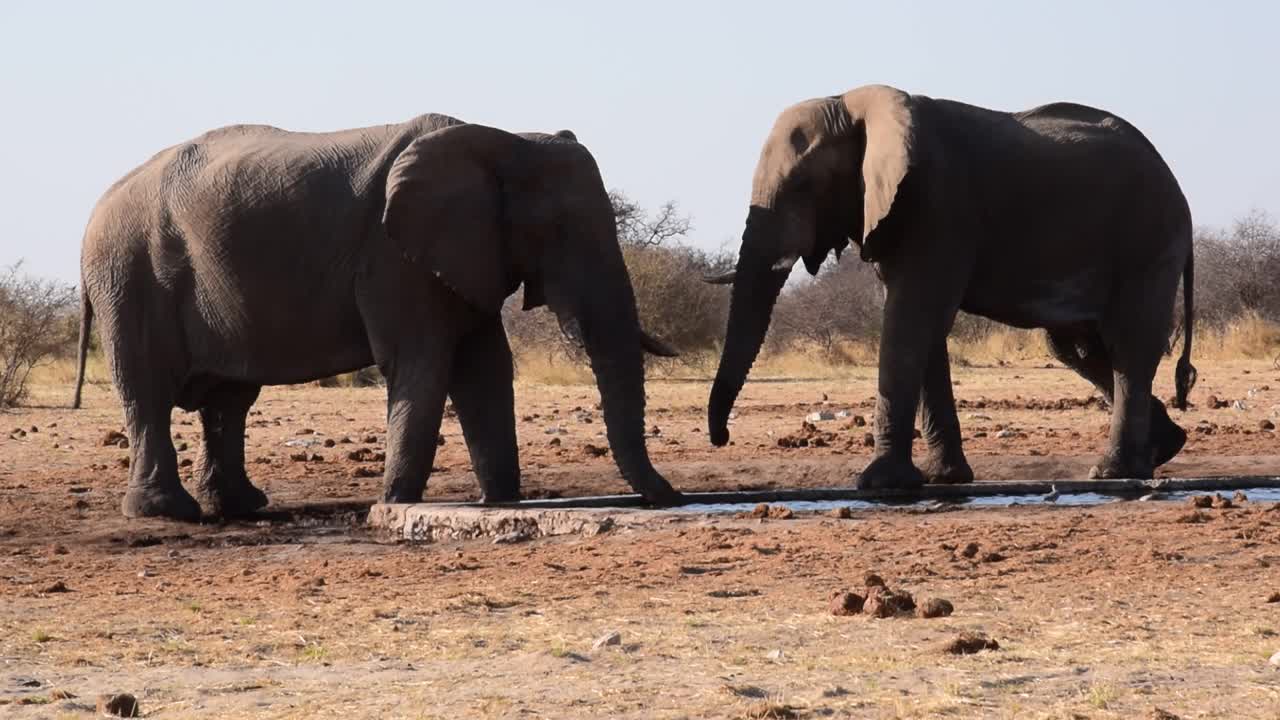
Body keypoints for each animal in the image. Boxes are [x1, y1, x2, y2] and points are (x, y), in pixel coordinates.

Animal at [73, 112, 686, 517]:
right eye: (556, 230)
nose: (673, 498)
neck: (501, 138)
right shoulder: (394, 257)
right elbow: (424, 363)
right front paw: (395, 504)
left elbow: (485, 368)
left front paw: (499, 502)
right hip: (129, 274)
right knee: (148, 391)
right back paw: (166, 513)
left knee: (228, 399)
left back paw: (240, 507)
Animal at [711, 83, 1198, 486]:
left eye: (803, 184)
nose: (722, 439)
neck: (851, 103)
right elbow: (922, 328)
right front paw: (942, 479)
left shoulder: (938, 206)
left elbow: (910, 320)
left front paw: (879, 483)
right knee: (1075, 346)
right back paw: (1162, 449)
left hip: (1148, 241)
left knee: (1127, 343)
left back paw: (1114, 471)